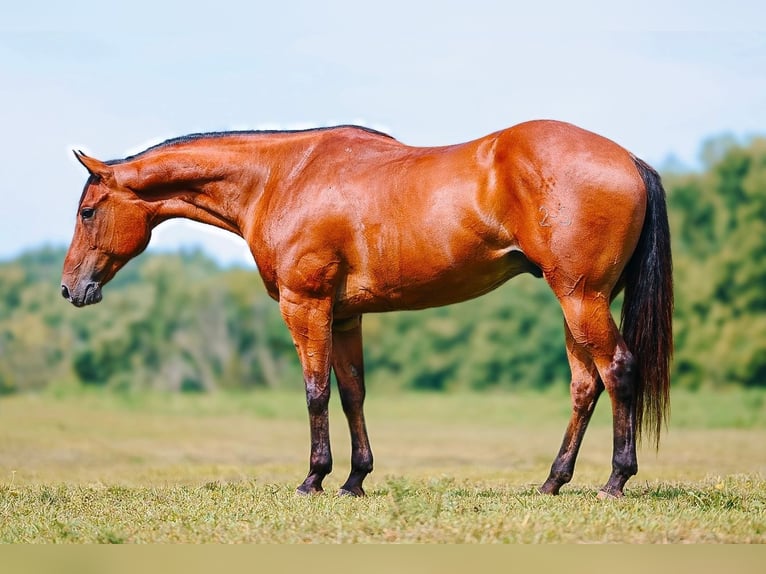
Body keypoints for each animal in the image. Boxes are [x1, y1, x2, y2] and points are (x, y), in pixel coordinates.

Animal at [61, 120, 673, 498]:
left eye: (88, 211)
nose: (70, 289)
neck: (281, 176)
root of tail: (629, 158)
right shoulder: (344, 314)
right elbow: (352, 390)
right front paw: (355, 479)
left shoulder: (304, 304)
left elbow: (315, 391)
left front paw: (314, 478)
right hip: (575, 300)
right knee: (585, 385)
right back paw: (553, 481)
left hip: (581, 296)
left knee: (618, 370)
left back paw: (615, 480)